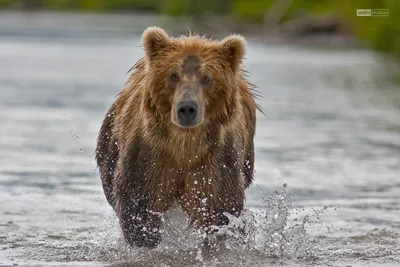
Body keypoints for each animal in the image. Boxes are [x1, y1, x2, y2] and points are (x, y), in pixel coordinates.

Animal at [95, 26, 260, 249]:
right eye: (173, 75)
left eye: (207, 78)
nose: (187, 108)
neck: (184, 146)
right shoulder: (151, 154)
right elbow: (138, 204)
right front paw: (146, 239)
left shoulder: (216, 160)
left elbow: (217, 209)